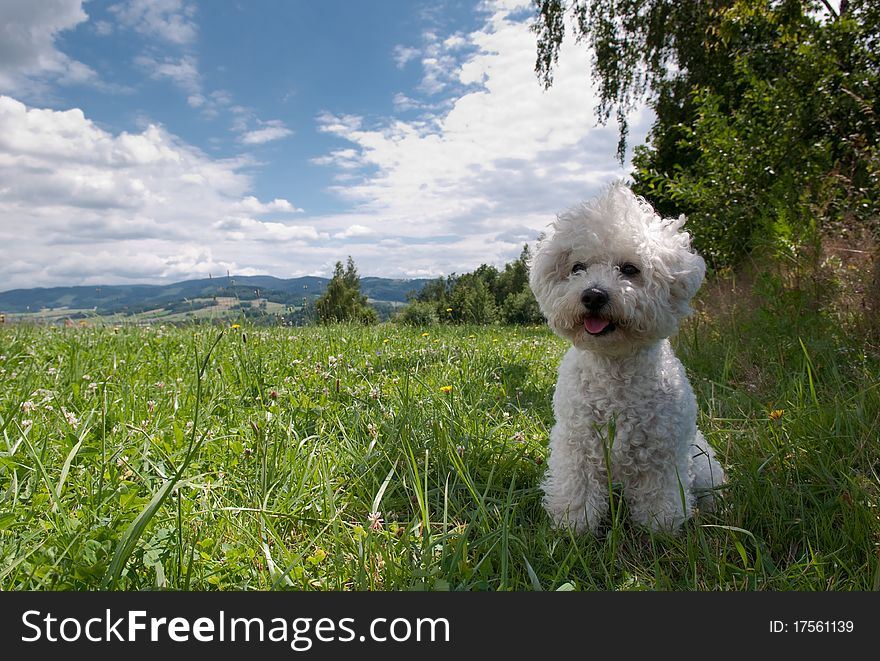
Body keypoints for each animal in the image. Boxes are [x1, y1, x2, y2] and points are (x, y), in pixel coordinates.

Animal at [528, 183, 720, 532]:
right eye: (577, 267)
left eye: (630, 269)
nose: (593, 295)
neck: (614, 372)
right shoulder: (577, 444)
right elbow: (578, 492)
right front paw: (573, 529)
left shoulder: (662, 451)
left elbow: (660, 497)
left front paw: (661, 529)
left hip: (703, 464)